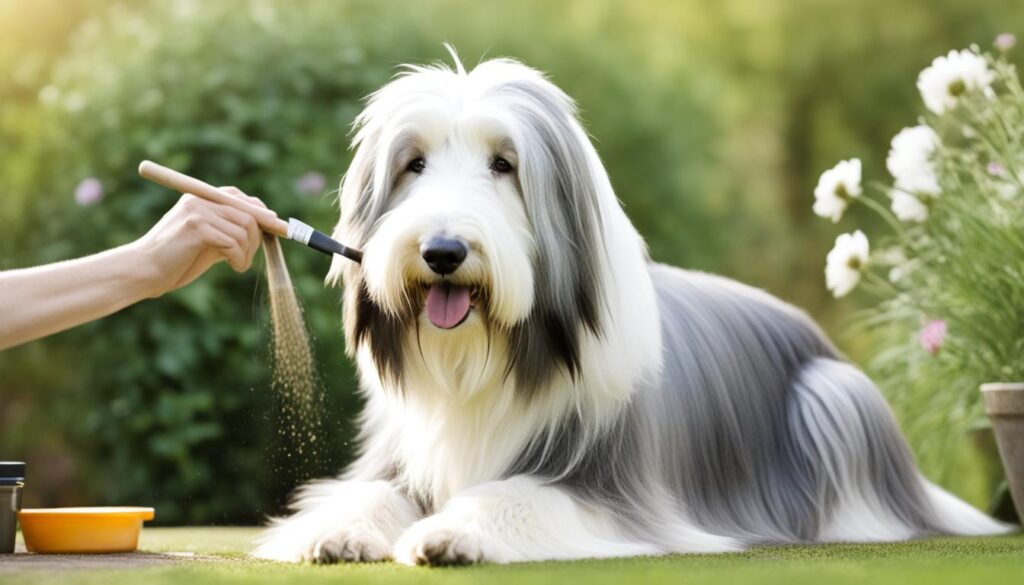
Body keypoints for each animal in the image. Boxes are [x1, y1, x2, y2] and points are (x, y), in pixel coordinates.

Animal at [253, 51, 1007, 569]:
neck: (484, 357)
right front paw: (337, 529)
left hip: (832, 395)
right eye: (414, 164)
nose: (442, 251)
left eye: (504, 164)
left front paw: (449, 530)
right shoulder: (402, 453)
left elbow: (521, 493)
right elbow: (370, 492)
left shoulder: (611, 485)